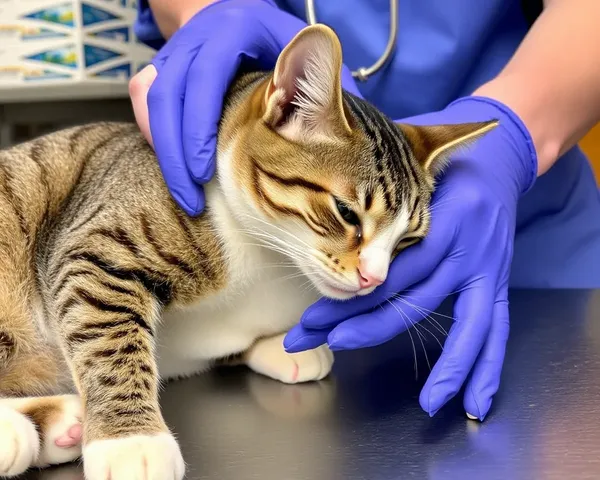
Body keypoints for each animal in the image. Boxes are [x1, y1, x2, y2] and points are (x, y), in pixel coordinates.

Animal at [0, 25, 496, 480]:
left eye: (407, 241)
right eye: (346, 213)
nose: (374, 278)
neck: (270, 262)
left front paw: (282, 346)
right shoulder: (97, 250)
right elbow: (109, 338)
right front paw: (133, 441)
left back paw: (59, 428)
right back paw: (20, 432)